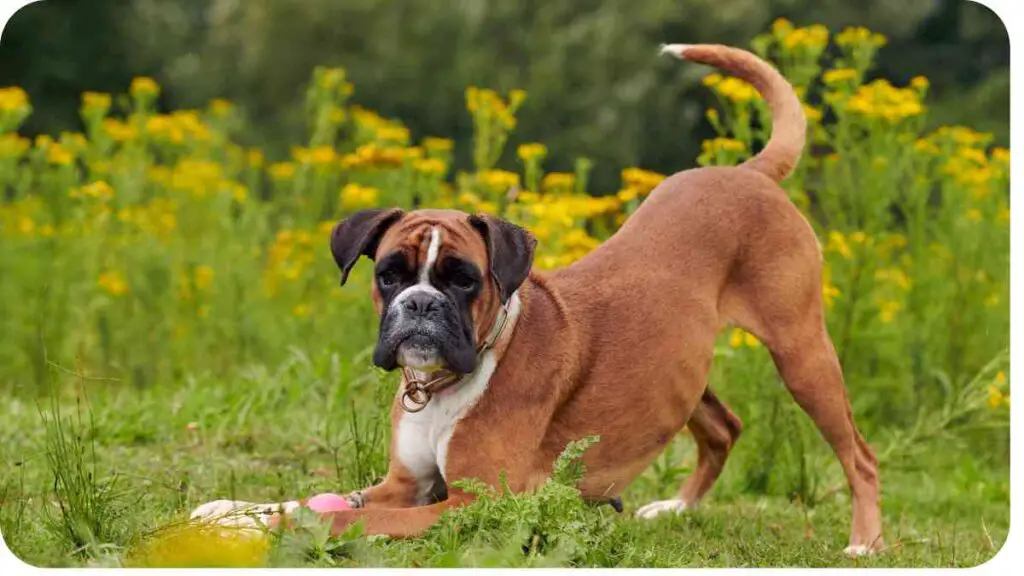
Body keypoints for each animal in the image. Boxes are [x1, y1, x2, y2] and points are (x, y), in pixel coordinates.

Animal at [192, 43, 880, 557]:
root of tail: (748, 173)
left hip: (802, 353)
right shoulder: (403, 484)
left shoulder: (469, 504)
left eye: (463, 279)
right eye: (390, 274)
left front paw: (265, 529)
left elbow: (337, 517)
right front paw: (230, 510)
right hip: (683, 369)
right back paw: (674, 509)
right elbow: (312, 498)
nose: (419, 305)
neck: (447, 383)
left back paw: (864, 542)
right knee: (723, 427)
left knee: (860, 455)